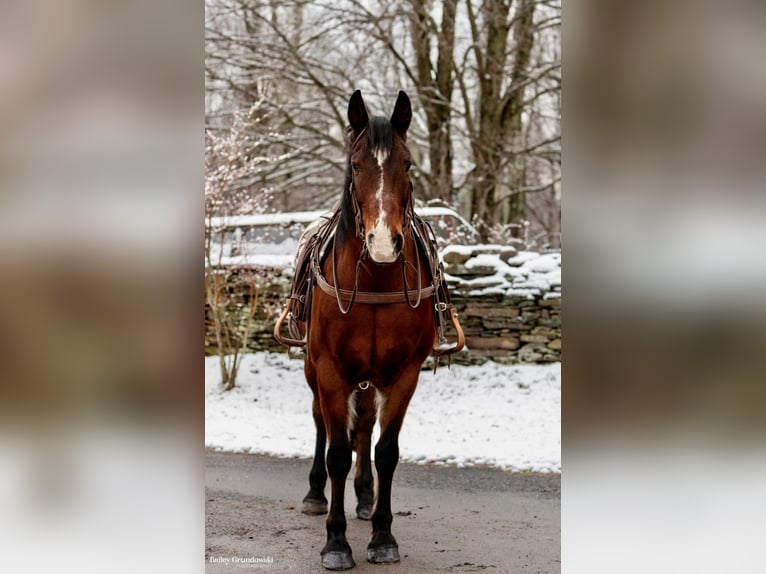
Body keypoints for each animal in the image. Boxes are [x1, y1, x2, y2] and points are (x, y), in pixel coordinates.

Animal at [300, 91, 440, 572]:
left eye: (408, 164)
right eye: (356, 164)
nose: (383, 243)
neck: (376, 280)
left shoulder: (404, 375)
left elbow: (386, 451)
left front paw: (382, 535)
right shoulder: (330, 370)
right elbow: (338, 452)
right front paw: (336, 542)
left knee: (363, 425)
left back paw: (363, 498)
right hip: (314, 371)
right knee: (323, 423)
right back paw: (315, 493)